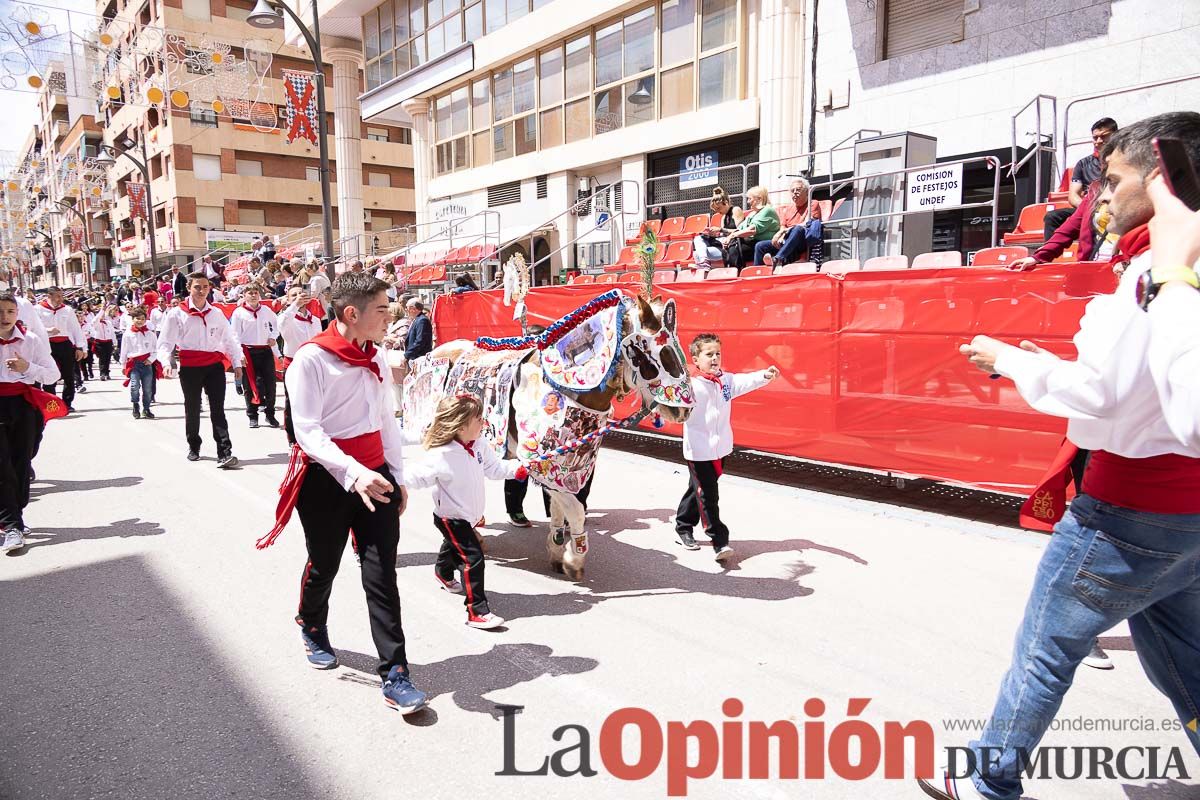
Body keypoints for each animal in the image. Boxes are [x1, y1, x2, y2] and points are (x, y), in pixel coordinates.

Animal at [400, 247, 696, 578]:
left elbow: (560, 507)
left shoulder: (565, 463)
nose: (683, 409)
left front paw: (557, 549)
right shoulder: (538, 461)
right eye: (648, 355)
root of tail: (434, 351)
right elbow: (575, 510)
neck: (563, 387)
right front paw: (574, 558)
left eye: (677, 348)